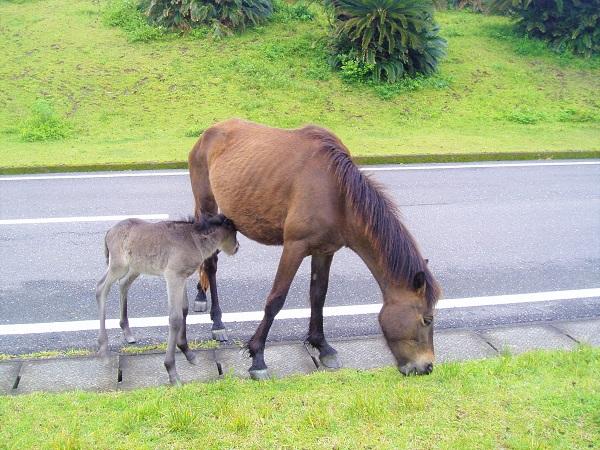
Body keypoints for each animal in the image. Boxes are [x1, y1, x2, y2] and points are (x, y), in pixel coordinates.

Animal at [95, 214, 238, 384]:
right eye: (234, 232)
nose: (237, 247)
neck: (194, 240)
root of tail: (109, 231)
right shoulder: (173, 276)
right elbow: (175, 318)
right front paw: (172, 371)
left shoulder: (182, 277)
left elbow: (184, 309)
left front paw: (188, 352)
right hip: (118, 265)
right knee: (101, 289)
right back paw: (103, 348)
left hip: (135, 267)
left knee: (123, 284)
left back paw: (127, 331)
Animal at [189, 118, 440, 378]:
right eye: (427, 319)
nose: (427, 366)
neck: (337, 196)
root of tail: (209, 132)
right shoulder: (294, 247)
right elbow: (276, 300)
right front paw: (258, 356)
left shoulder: (324, 251)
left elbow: (318, 295)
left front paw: (322, 346)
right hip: (207, 207)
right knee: (210, 262)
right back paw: (217, 321)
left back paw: (201, 296)